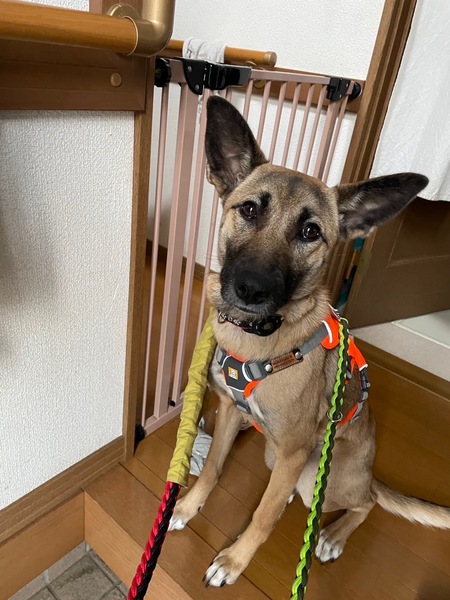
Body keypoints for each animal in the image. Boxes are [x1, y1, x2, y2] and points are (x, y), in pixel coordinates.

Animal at [168, 96, 450, 588]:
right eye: (249, 211)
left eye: (310, 232)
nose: (249, 289)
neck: (262, 340)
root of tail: (370, 473)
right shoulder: (228, 413)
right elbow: (214, 468)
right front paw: (187, 505)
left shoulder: (294, 454)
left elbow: (263, 517)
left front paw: (235, 561)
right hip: (276, 460)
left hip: (311, 473)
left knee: (365, 504)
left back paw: (334, 535)